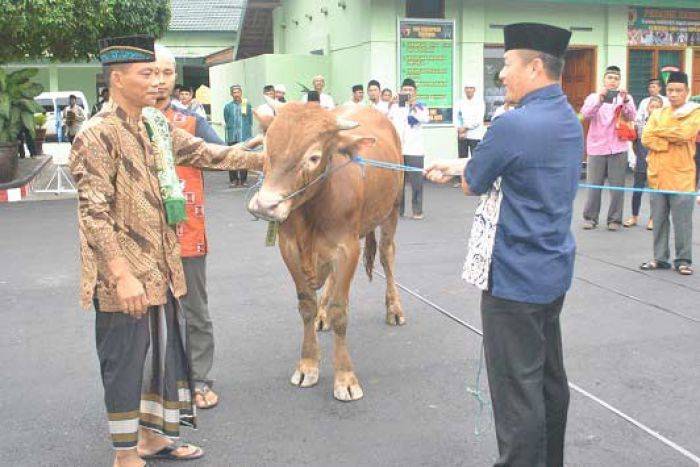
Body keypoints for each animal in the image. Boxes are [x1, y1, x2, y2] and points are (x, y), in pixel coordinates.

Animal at [250, 102, 404, 402]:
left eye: (313, 157)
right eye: (266, 145)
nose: (265, 205)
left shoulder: (348, 249)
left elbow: (340, 311)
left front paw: (345, 377)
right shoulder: (289, 248)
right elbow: (306, 305)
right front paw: (307, 364)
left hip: (391, 209)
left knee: (387, 255)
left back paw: (394, 308)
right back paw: (323, 316)